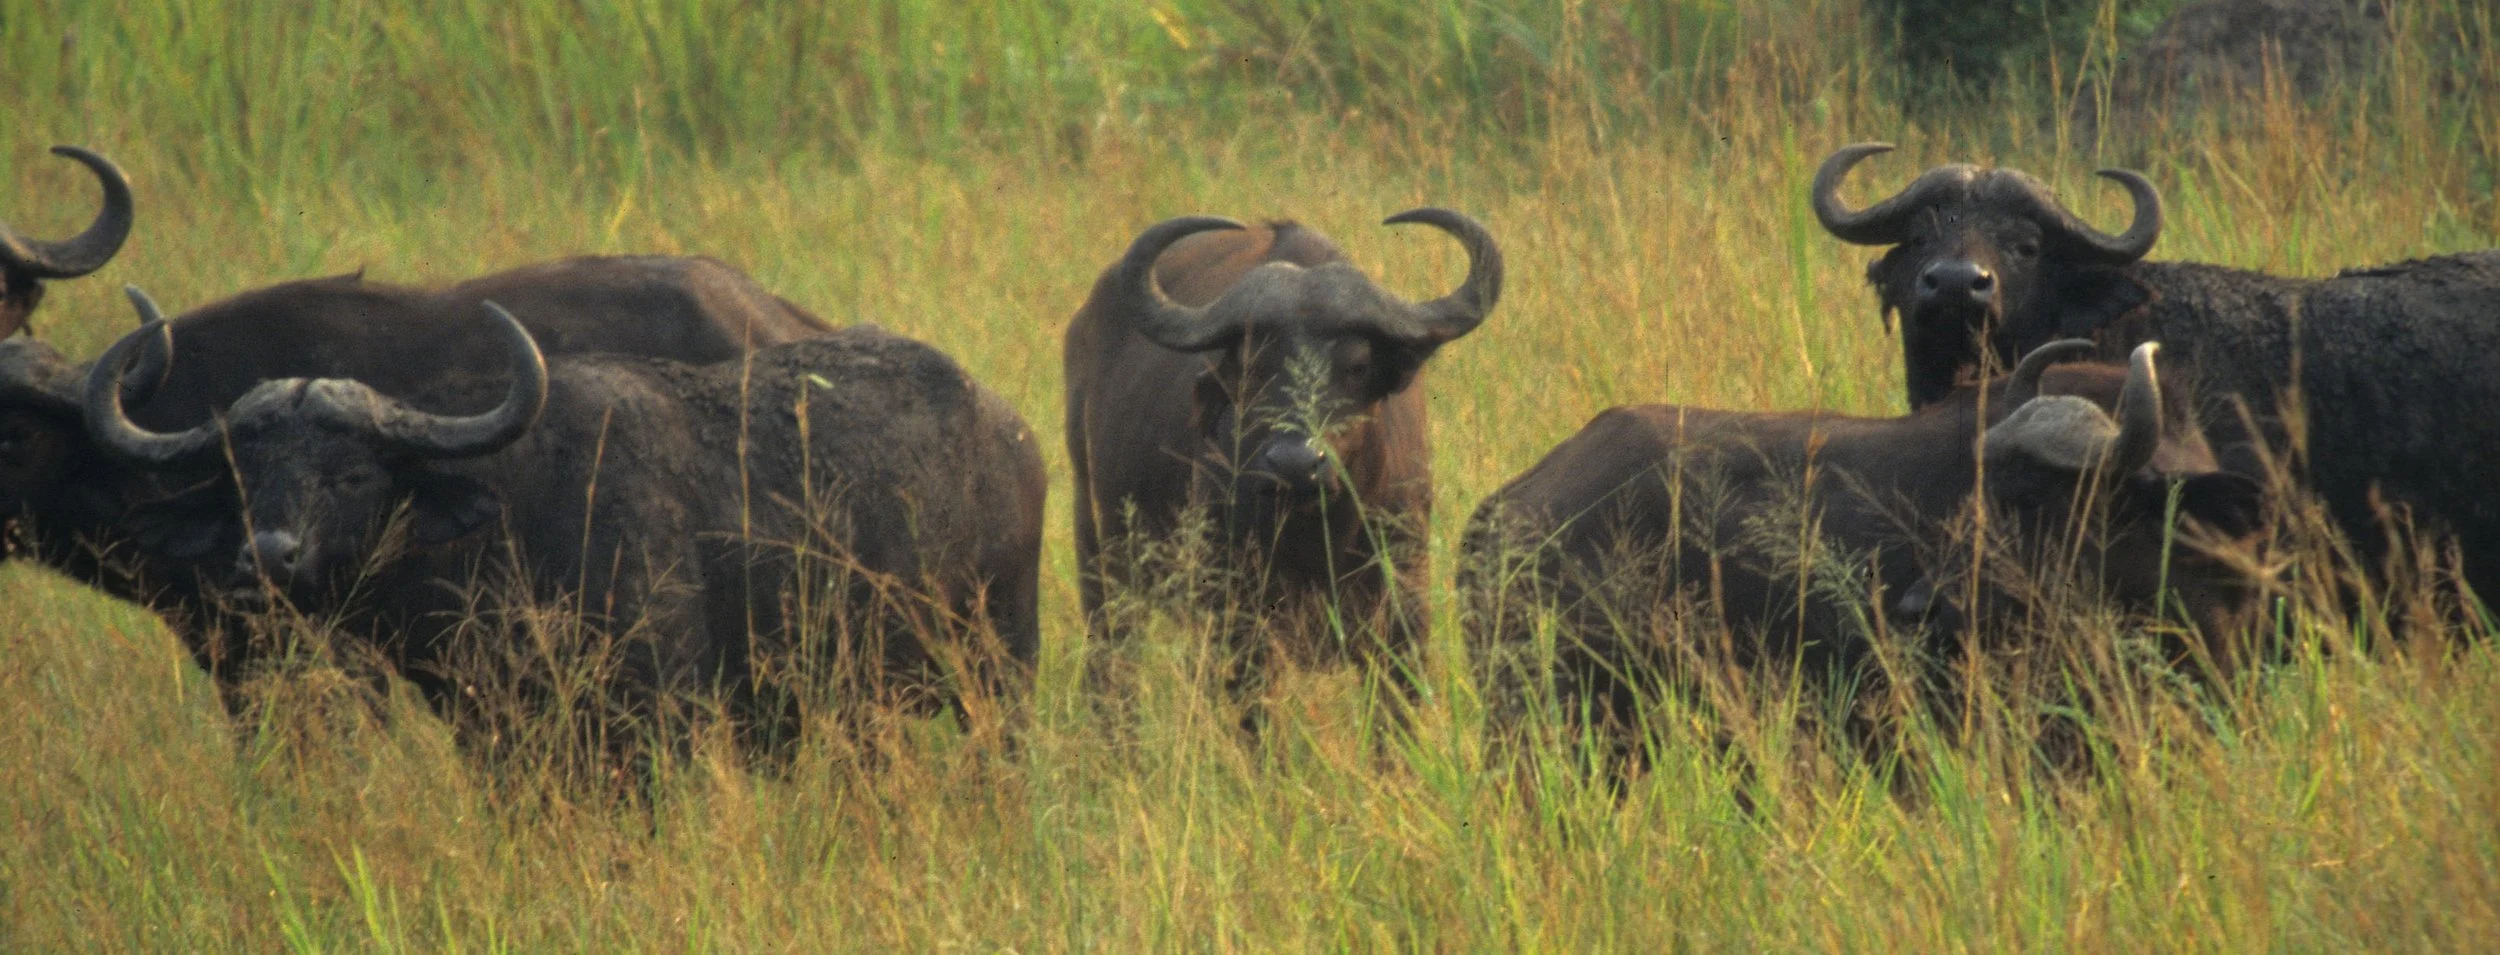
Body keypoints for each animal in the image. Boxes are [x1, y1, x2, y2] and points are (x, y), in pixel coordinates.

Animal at [82, 294, 1044, 742]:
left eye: (353, 474)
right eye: (245, 479)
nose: (268, 557)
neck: (510, 529)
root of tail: (1007, 429)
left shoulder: (660, 720)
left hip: (1000, 667)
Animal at [1065, 211, 1501, 708]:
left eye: (1357, 366)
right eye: (1254, 365)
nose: (1296, 464)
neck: (1317, 536)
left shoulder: (1403, 608)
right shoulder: (1236, 618)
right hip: (1102, 561)